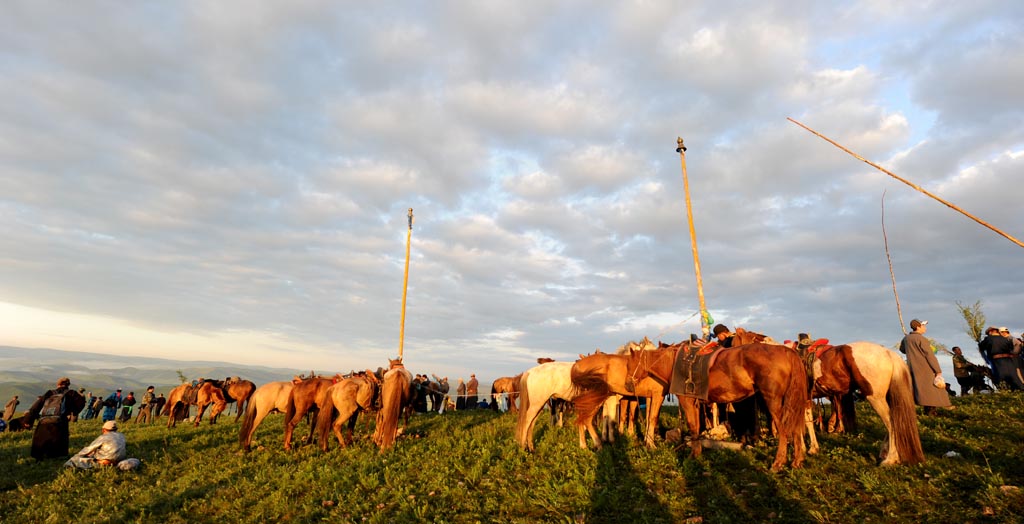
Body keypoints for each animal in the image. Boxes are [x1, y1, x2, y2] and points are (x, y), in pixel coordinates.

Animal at [622, 341, 806, 472]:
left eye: (629, 364)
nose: (627, 385)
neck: (673, 364)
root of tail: (787, 352)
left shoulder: (686, 401)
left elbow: (693, 426)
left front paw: (692, 456)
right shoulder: (695, 403)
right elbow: (696, 427)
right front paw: (696, 453)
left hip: (773, 401)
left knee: (783, 430)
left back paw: (778, 463)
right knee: (796, 428)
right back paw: (797, 461)